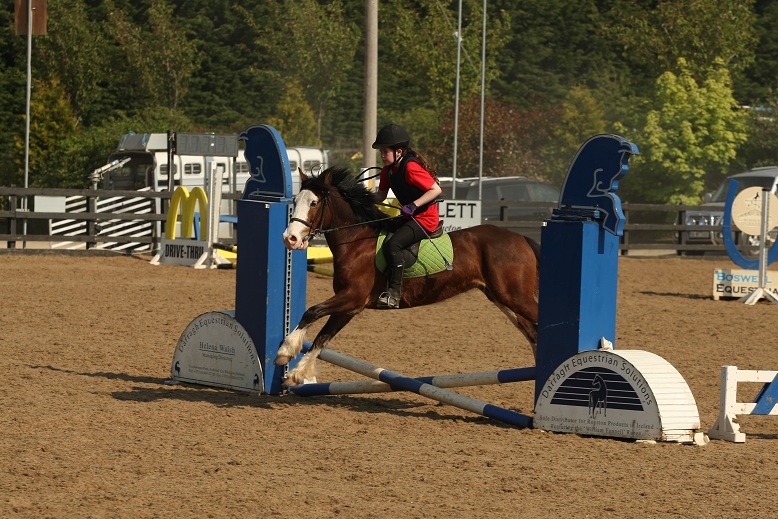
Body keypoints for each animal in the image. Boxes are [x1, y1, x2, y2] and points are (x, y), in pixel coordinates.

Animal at [277, 166, 541, 386]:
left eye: (313, 202)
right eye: (295, 201)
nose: (290, 238)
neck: (355, 241)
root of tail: (520, 238)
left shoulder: (352, 297)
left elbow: (312, 312)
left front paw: (285, 351)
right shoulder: (350, 306)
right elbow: (322, 338)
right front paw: (297, 373)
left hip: (514, 296)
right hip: (501, 298)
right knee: (533, 333)